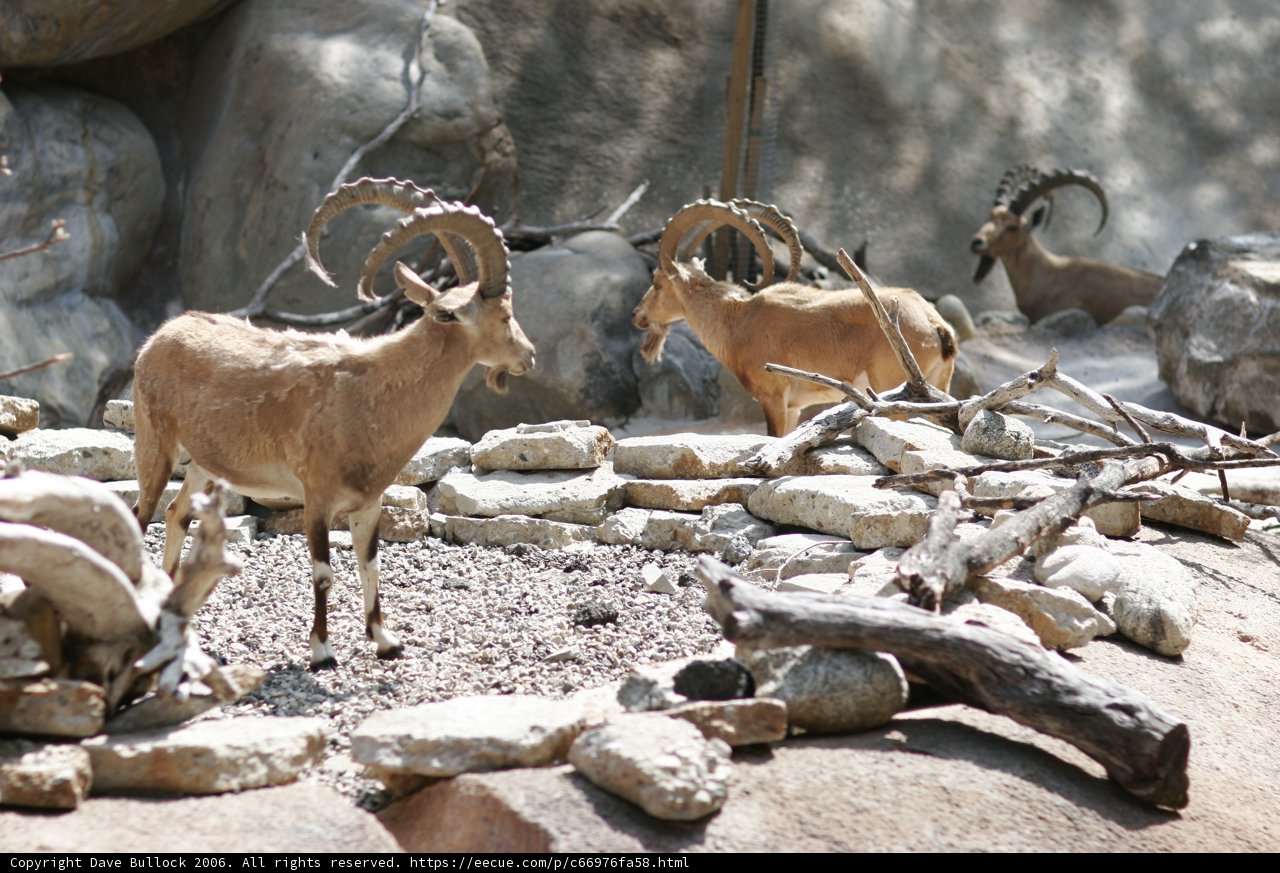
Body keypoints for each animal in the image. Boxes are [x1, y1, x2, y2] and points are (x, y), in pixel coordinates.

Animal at [132, 178, 535, 669]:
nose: (528, 356)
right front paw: (322, 651)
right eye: (504, 315)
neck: (372, 393)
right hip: (154, 443)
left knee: (176, 514)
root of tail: (161, 336)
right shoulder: (317, 497)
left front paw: (385, 640)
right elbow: (323, 571)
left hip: (204, 465)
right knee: (141, 515)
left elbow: (370, 564)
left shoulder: (368, 502)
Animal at [633, 199, 957, 436]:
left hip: (895, 388)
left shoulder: (774, 397)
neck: (738, 320)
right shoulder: (793, 407)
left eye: (658, 282)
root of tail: (936, 325)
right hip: (936, 387)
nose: (638, 315)